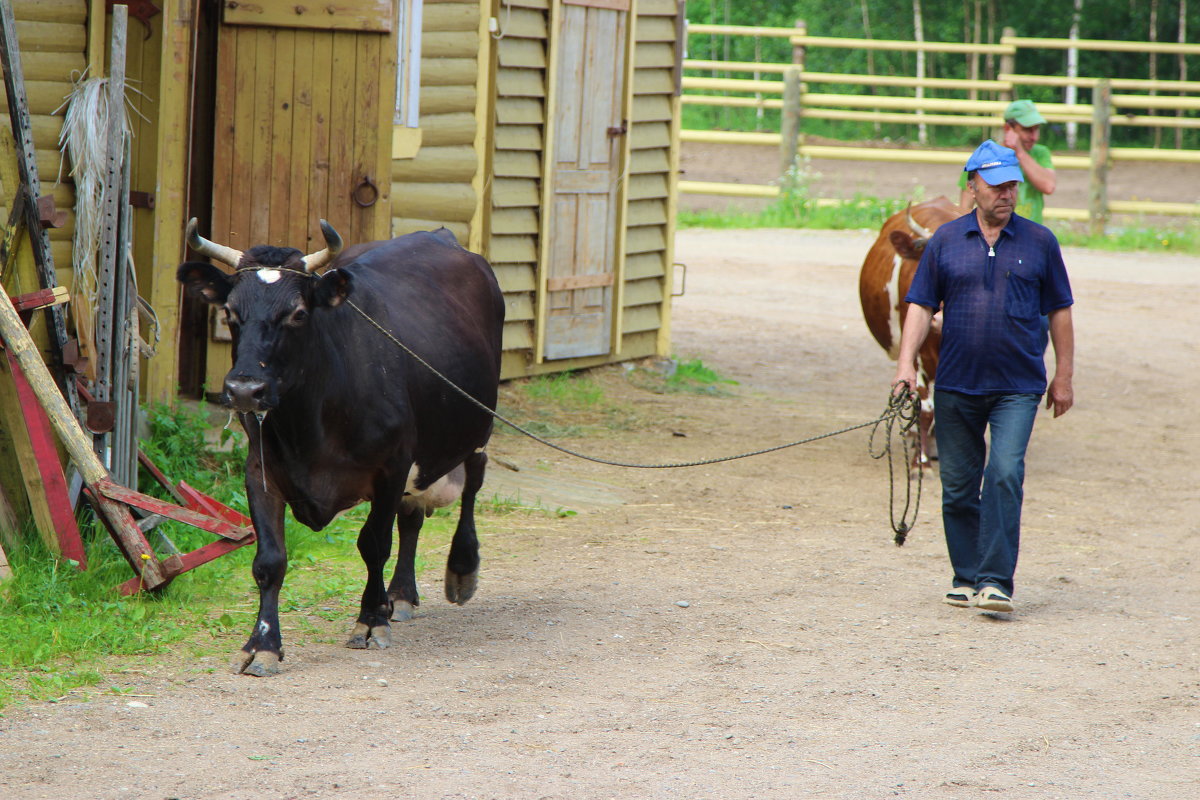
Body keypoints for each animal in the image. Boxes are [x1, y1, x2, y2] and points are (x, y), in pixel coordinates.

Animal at [175, 219, 504, 676]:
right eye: (230, 313)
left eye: (298, 313)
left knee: (472, 485)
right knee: (412, 518)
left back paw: (460, 569)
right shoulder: (260, 471)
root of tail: (437, 233)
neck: (309, 426)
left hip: (478, 425)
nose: (244, 389)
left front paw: (370, 621)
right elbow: (269, 560)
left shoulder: (392, 466)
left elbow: (374, 544)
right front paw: (262, 645)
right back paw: (401, 594)